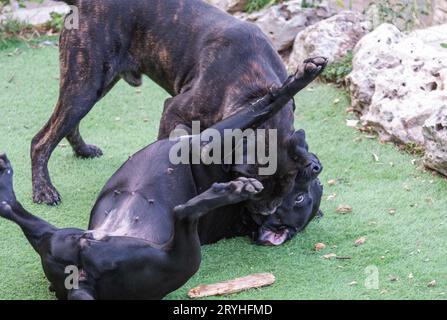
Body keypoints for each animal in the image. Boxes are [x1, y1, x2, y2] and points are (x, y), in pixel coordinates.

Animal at [1, 68, 320, 300]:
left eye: (300, 199)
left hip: (179, 261)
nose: (317, 167)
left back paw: (228, 192)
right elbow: (263, 107)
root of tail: (80, 283)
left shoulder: (208, 138)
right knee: (12, 210)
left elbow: (262, 106)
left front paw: (299, 79)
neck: (244, 216)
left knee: (183, 215)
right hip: (54, 235)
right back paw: (5, 183)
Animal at [30, 0, 326, 216]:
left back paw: (82, 150)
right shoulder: (174, 110)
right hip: (85, 83)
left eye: (285, 190)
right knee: (41, 139)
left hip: (95, 84)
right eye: (262, 193)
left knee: (67, 124)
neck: (253, 83)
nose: (267, 212)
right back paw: (43, 190)